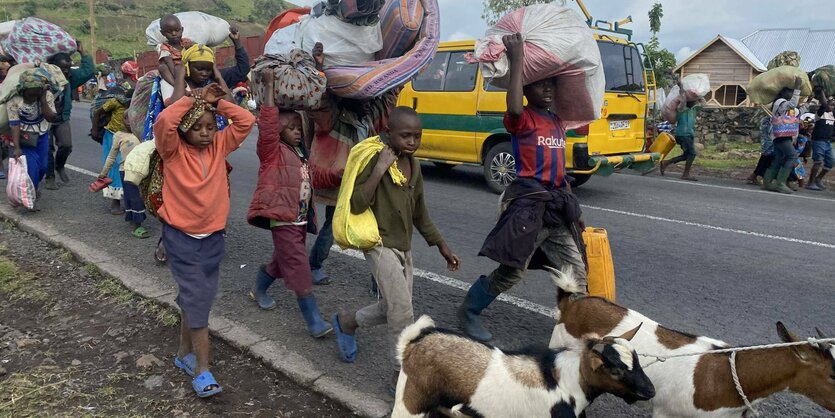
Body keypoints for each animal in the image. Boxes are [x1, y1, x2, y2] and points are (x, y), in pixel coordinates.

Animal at [388, 314, 656, 418]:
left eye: (637, 359)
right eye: (616, 370)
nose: (650, 391)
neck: (566, 382)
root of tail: (412, 343)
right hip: (411, 403)